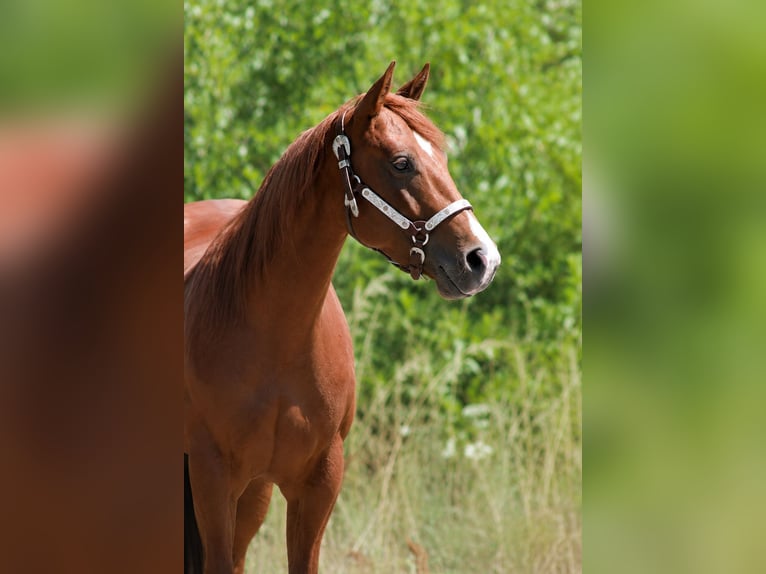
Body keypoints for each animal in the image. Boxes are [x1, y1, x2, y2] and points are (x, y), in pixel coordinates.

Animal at [183, 61, 501, 574]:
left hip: (254, 494)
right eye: (401, 163)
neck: (275, 342)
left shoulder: (318, 484)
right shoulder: (212, 479)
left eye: (443, 156)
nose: (482, 259)